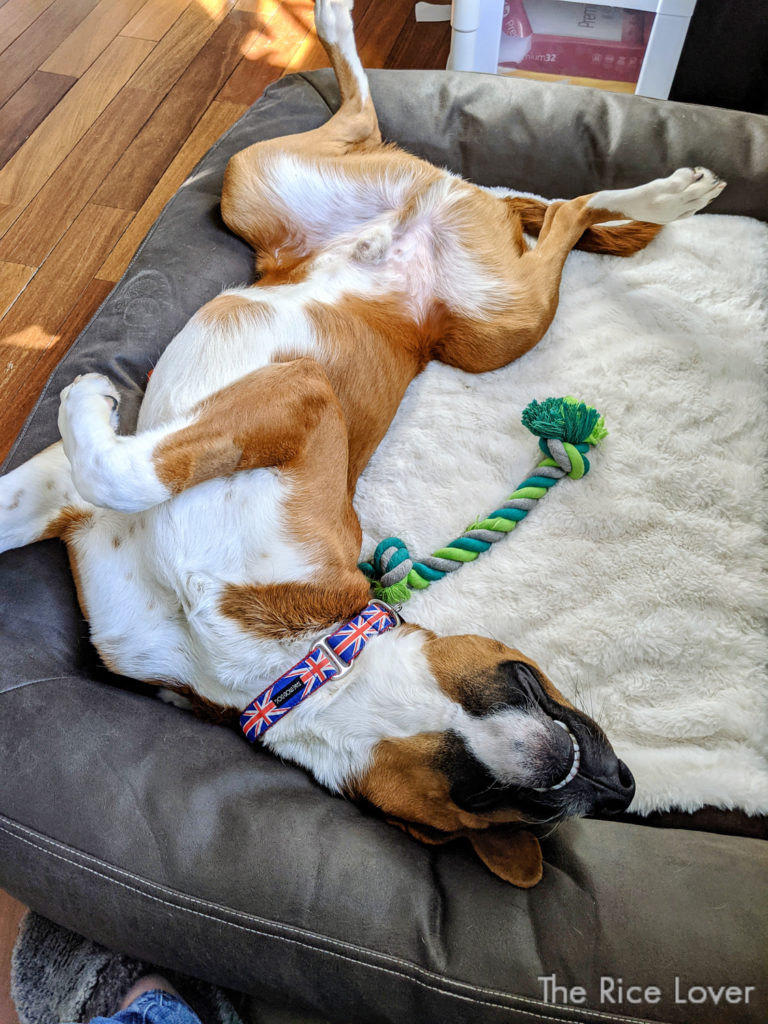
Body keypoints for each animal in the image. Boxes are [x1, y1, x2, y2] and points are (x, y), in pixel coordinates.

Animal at [0, 0, 729, 884]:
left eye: (519, 812)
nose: (617, 782)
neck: (293, 664)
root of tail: (444, 203)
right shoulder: (126, 477)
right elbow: (107, 477)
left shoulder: (296, 398)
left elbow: (121, 469)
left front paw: (88, 398)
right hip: (267, 185)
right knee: (522, 190)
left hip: (491, 323)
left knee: (560, 206)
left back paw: (666, 193)